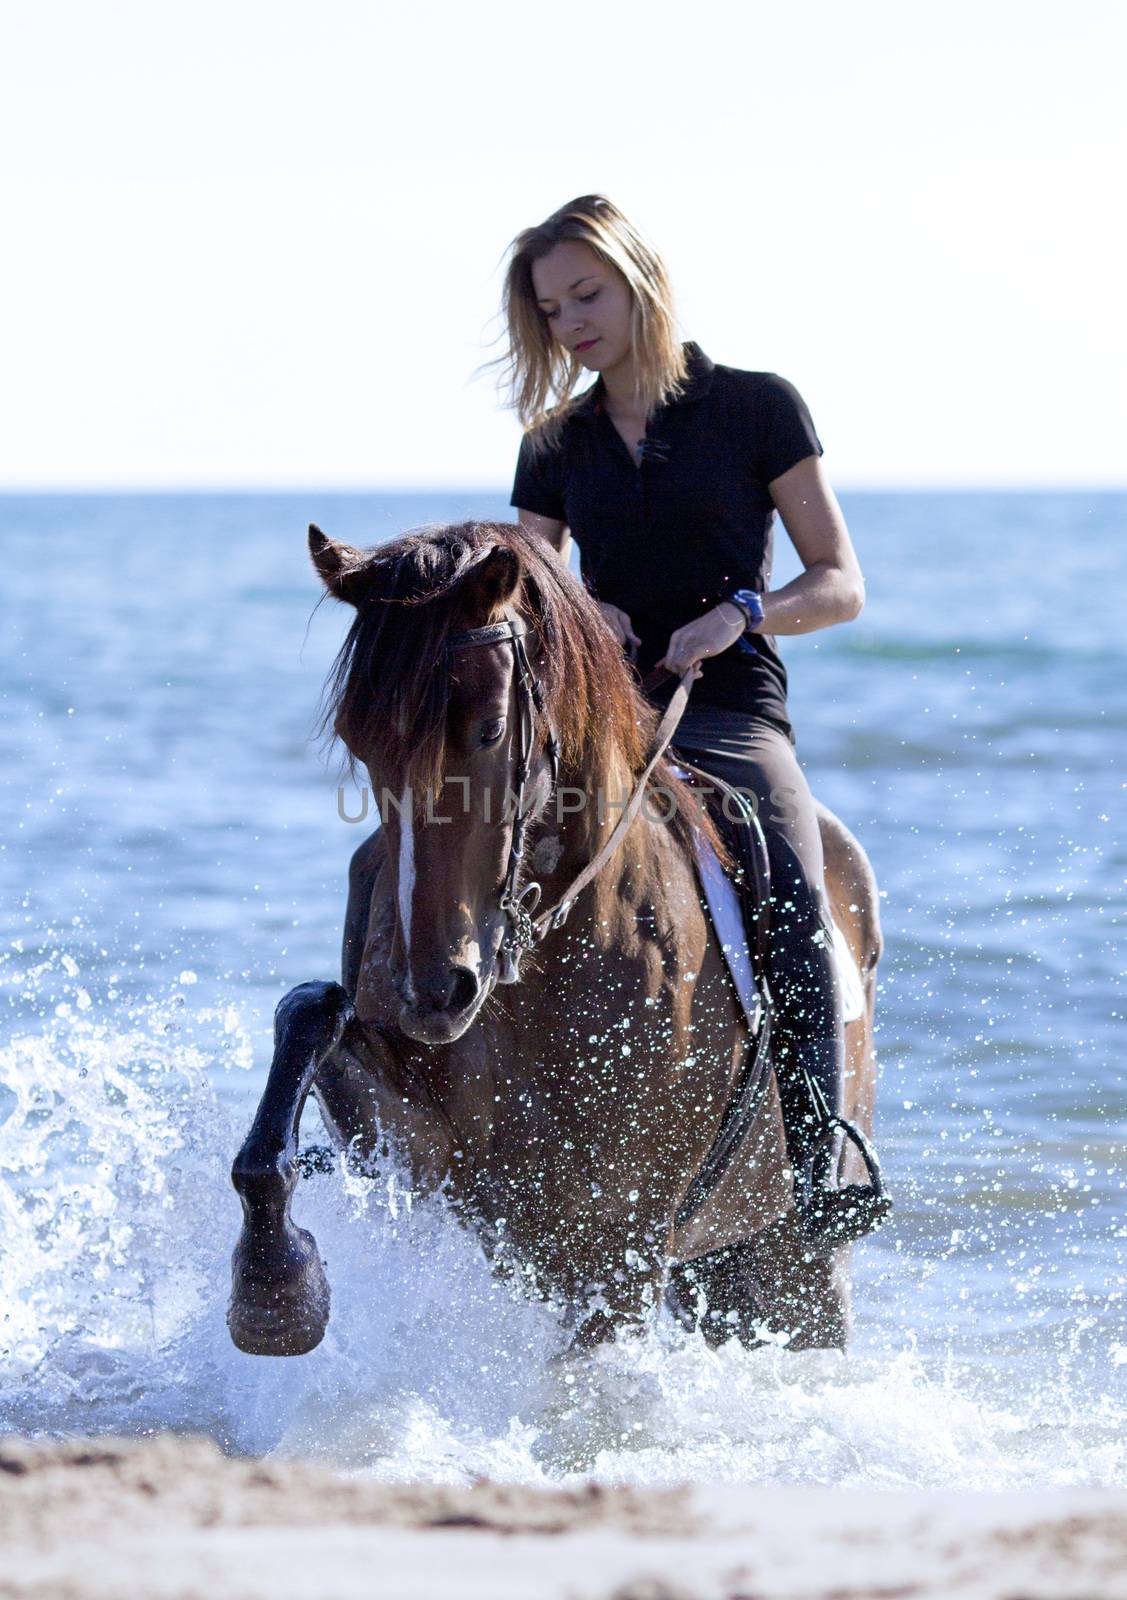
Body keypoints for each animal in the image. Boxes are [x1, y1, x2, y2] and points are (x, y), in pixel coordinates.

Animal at [227, 518, 883, 1356]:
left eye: (488, 730)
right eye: (357, 739)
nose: (433, 993)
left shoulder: (620, 1243)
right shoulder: (426, 1158)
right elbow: (309, 1012)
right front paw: (274, 1292)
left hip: (790, 1262)